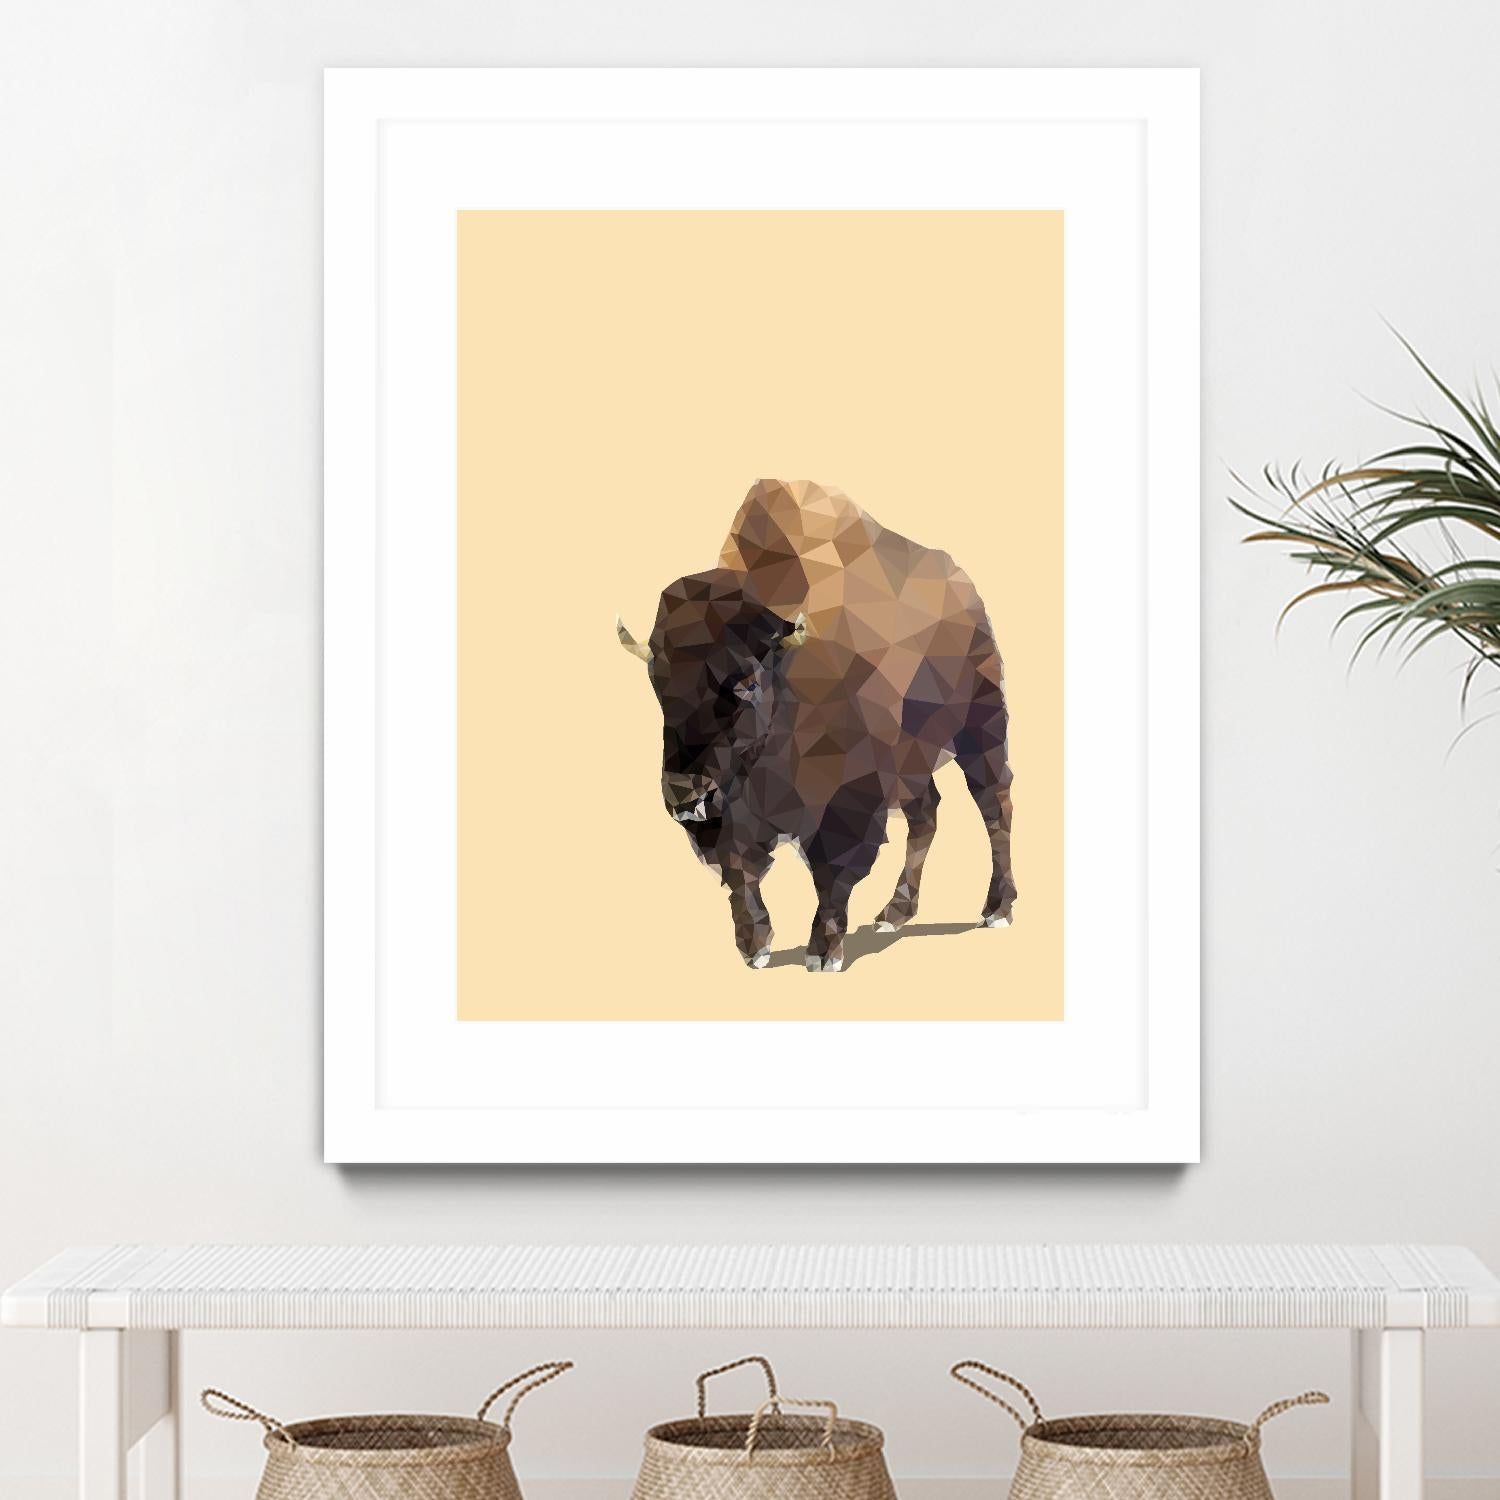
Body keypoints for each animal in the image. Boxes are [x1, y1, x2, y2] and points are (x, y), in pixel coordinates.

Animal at [616, 479, 1015, 972]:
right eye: (657, 680)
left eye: (747, 682)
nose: (685, 795)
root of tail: (965, 588)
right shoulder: (731, 820)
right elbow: (740, 874)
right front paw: (755, 947)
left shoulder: (850, 801)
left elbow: (832, 875)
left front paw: (822, 954)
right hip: (914, 758)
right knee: (926, 815)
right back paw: (895, 913)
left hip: (981, 728)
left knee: (994, 804)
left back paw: (996, 908)